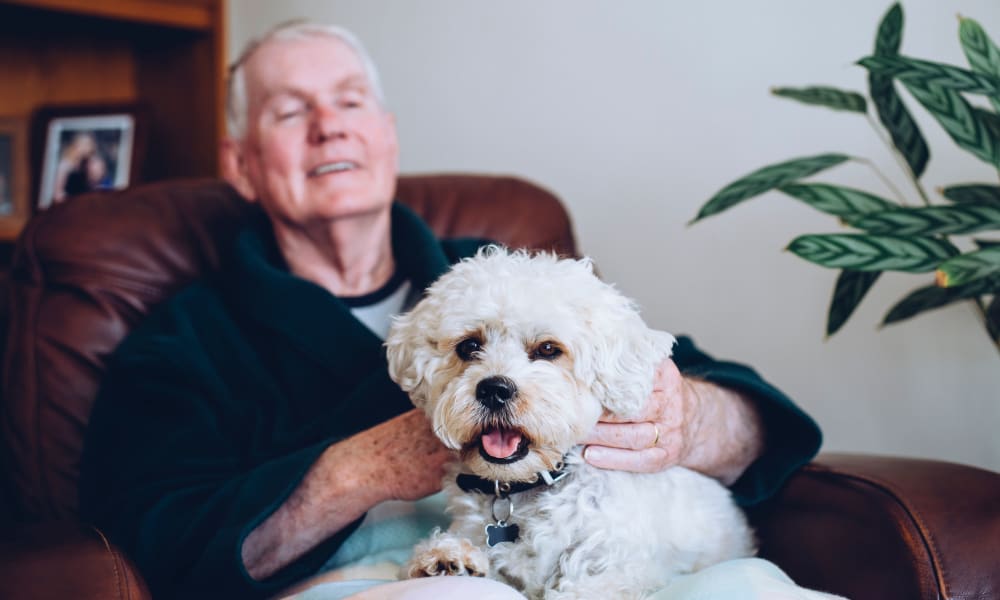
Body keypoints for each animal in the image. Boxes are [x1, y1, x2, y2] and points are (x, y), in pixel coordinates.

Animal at [384, 246, 756, 596]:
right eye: (469, 346)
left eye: (548, 349)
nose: (494, 390)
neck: (524, 487)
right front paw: (448, 556)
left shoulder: (617, 567)